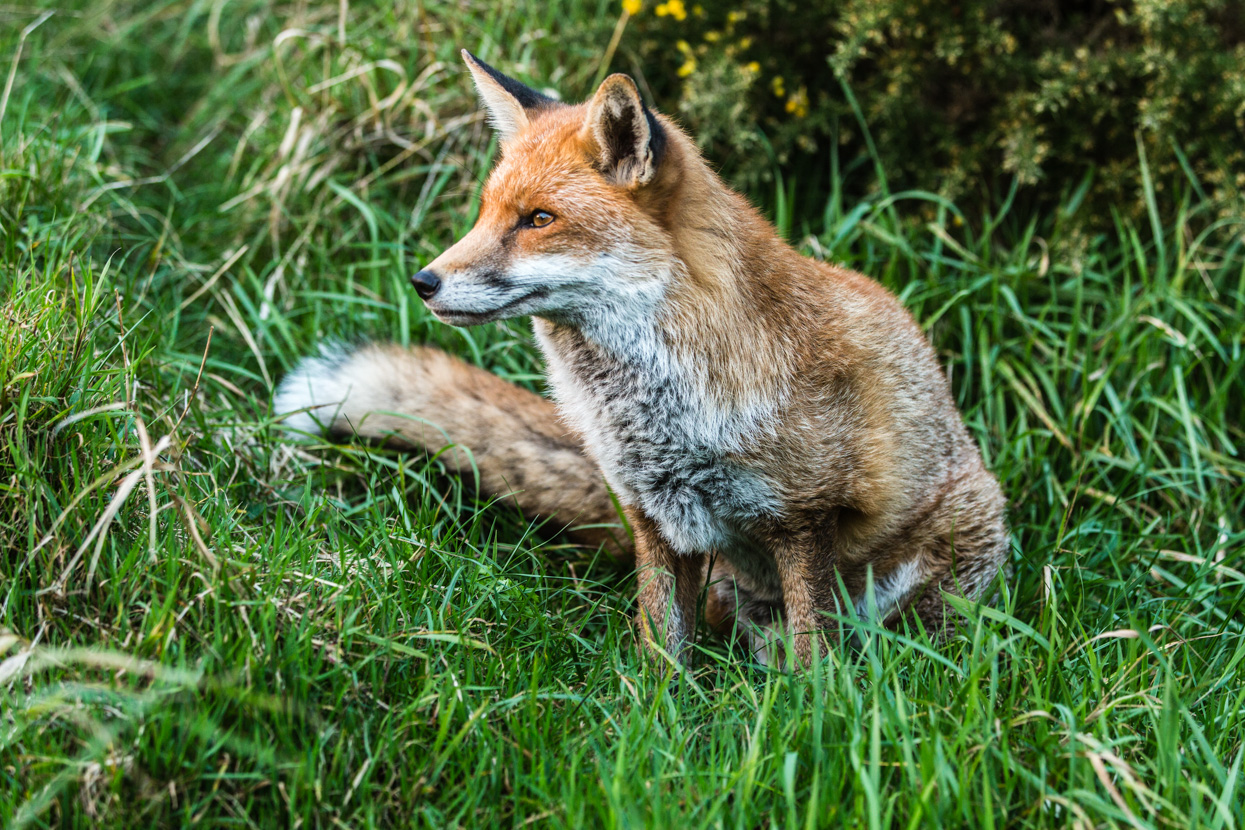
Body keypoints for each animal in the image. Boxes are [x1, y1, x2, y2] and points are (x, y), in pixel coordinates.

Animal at [275, 51, 1010, 666]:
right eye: (484, 214)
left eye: (538, 220)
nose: (424, 282)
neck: (656, 407)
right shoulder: (657, 520)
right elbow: (660, 651)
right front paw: (659, 722)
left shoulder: (805, 517)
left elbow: (813, 656)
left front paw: (814, 721)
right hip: (730, 587)